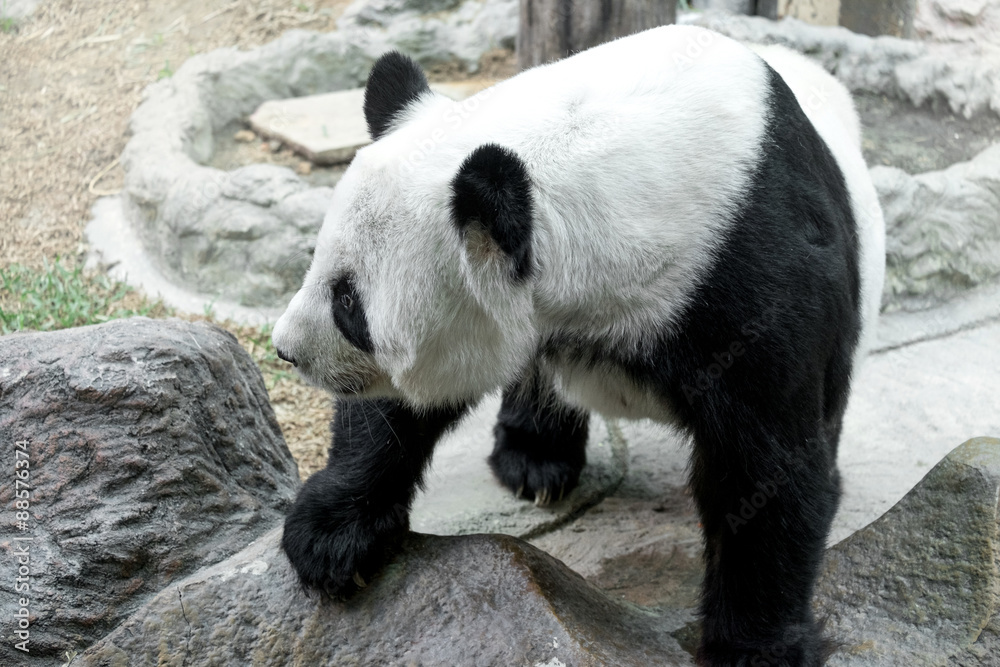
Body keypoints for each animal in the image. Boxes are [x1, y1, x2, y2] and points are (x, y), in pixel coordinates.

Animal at [272, 25, 885, 667]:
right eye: (319, 266)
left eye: (349, 305)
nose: (287, 351)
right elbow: (392, 411)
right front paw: (331, 536)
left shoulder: (752, 276)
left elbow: (766, 473)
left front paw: (757, 651)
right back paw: (535, 458)